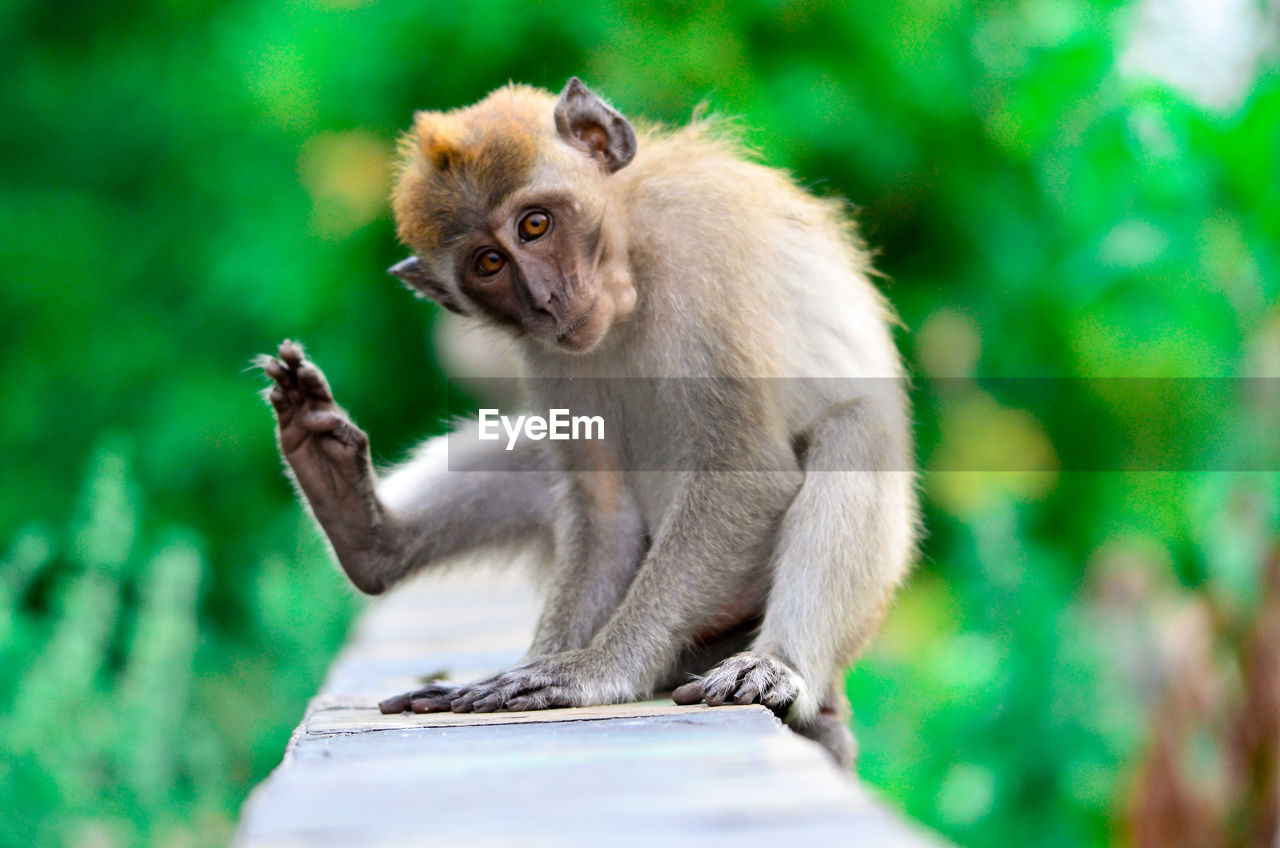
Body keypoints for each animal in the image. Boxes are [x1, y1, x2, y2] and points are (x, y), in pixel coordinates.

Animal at [259, 78, 916, 768]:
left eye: (535, 224)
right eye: (488, 263)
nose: (546, 300)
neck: (634, 257)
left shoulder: (702, 253)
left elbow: (747, 473)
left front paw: (596, 668)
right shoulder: (545, 351)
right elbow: (601, 509)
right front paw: (545, 663)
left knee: (856, 431)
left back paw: (778, 665)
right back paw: (365, 531)